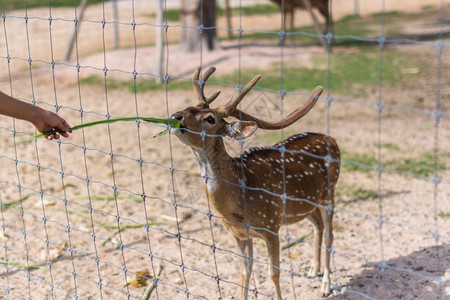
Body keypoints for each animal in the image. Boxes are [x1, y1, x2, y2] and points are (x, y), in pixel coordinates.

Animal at [171, 67, 340, 298]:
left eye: (210, 119)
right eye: (190, 105)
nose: (175, 116)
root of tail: (332, 139)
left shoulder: (271, 226)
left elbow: (274, 274)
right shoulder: (239, 234)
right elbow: (245, 272)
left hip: (330, 192)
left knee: (331, 234)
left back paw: (326, 285)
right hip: (306, 203)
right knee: (318, 225)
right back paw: (313, 270)